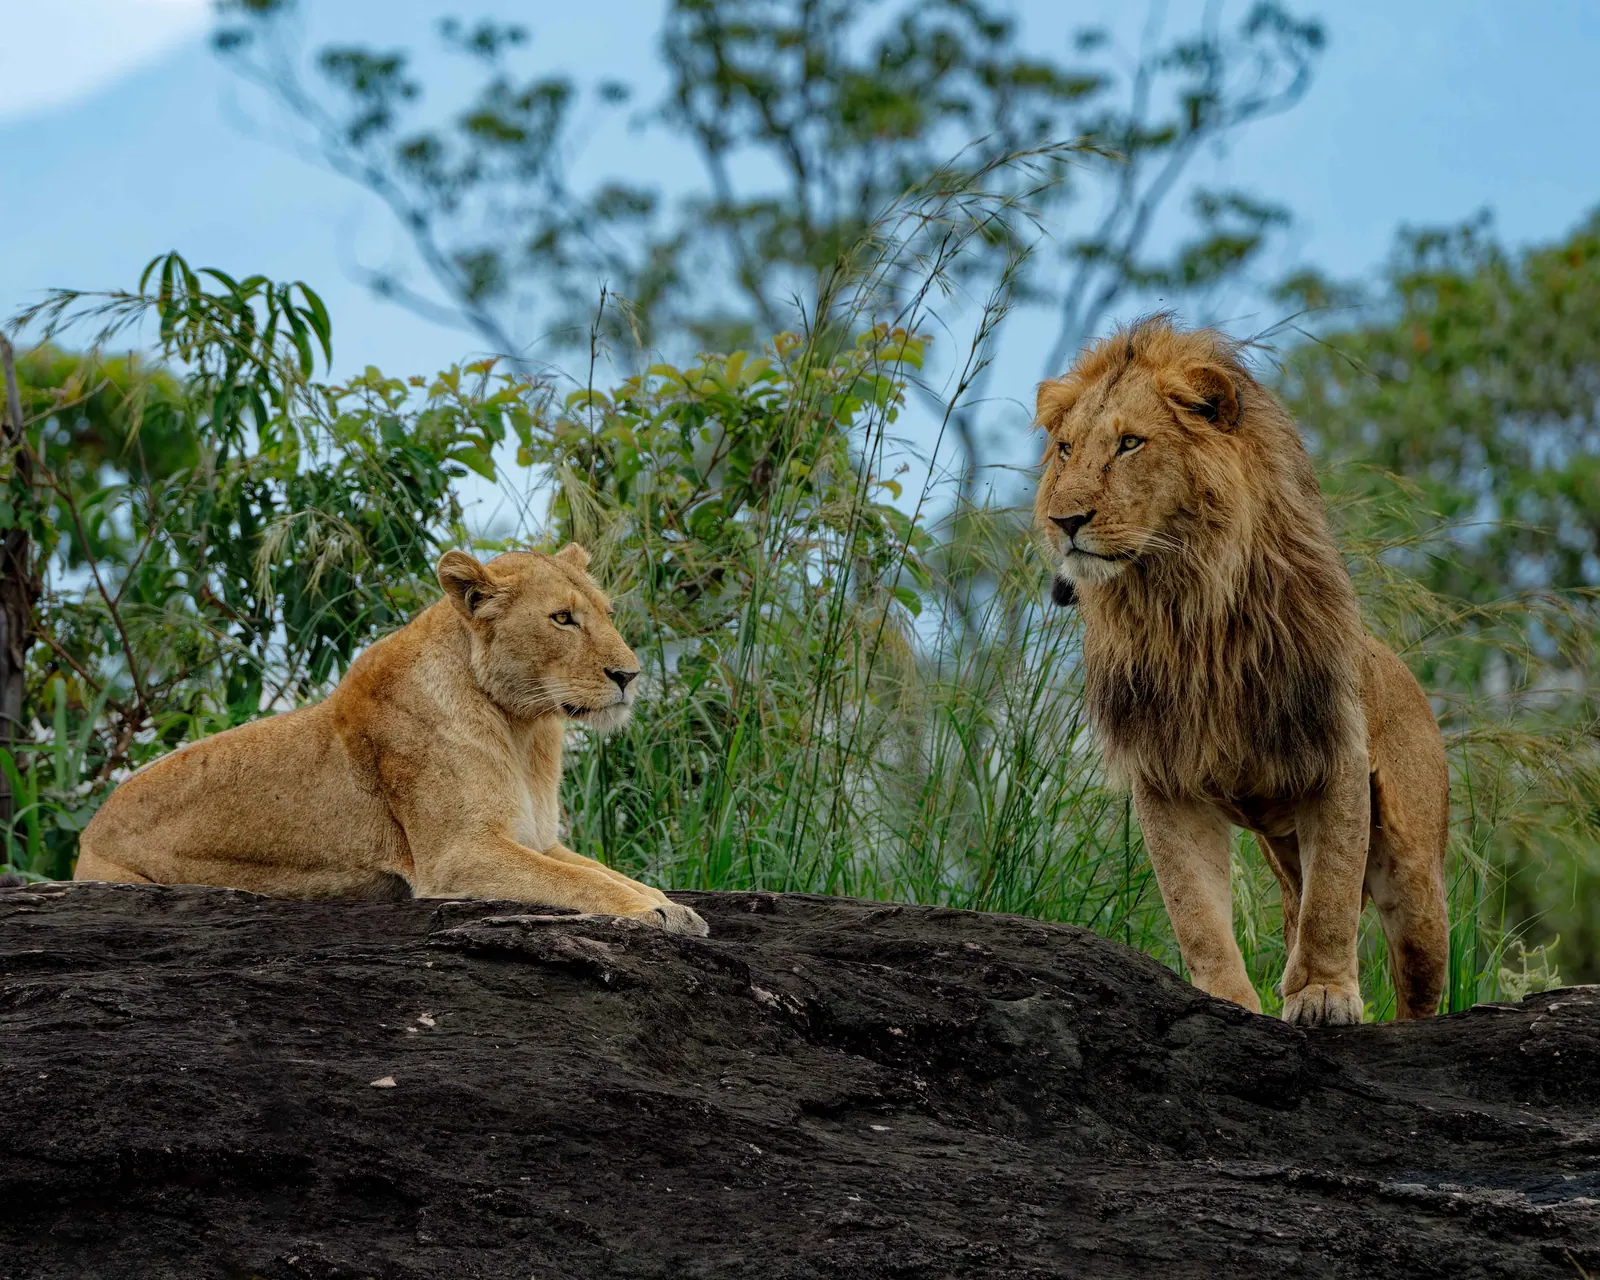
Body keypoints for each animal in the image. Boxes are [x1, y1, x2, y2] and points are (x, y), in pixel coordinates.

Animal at [75, 544, 709, 936]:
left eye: (606, 612)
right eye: (562, 619)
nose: (630, 675)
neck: (522, 726)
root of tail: (87, 833)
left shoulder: (536, 838)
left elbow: (601, 872)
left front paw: (670, 904)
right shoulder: (457, 857)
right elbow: (578, 882)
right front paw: (656, 912)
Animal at [1033, 317, 1448, 1025]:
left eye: (1130, 444)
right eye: (1064, 450)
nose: (1064, 521)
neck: (1183, 607)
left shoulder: (1334, 749)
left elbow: (1332, 896)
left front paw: (1324, 994)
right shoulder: (1163, 775)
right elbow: (1196, 912)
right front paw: (1228, 1000)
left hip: (1417, 877)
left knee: (1416, 979)